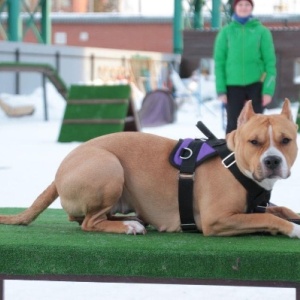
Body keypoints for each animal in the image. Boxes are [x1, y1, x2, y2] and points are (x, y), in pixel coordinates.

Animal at [0, 99, 300, 238]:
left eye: (286, 140)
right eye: (254, 142)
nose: (272, 161)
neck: (234, 162)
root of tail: (60, 170)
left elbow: (280, 210)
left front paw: (293, 216)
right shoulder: (217, 219)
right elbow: (267, 219)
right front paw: (292, 229)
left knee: (83, 217)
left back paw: (132, 219)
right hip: (109, 167)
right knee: (88, 222)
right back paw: (127, 226)